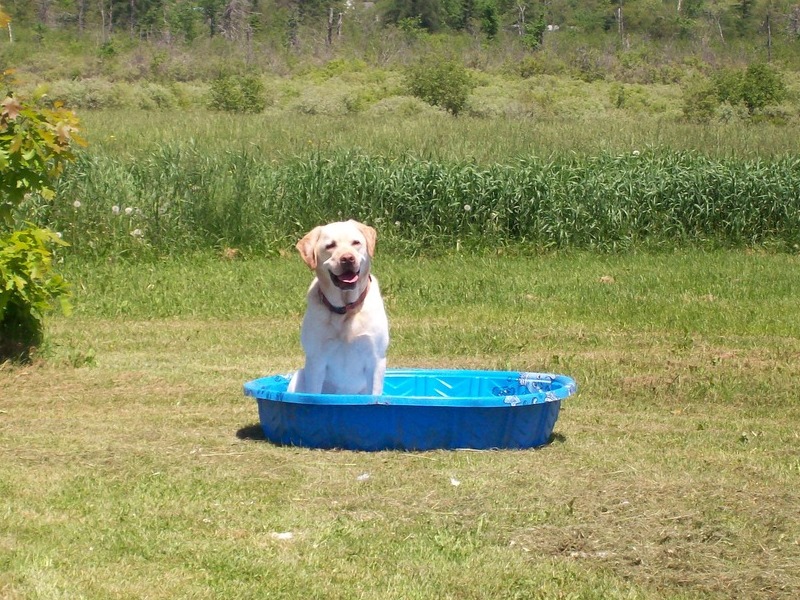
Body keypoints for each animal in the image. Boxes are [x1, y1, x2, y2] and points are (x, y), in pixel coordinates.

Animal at [288, 218, 390, 396]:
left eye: (356, 242)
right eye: (330, 245)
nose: (348, 258)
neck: (346, 308)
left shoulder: (376, 359)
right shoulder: (316, 360)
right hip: (298, 376)